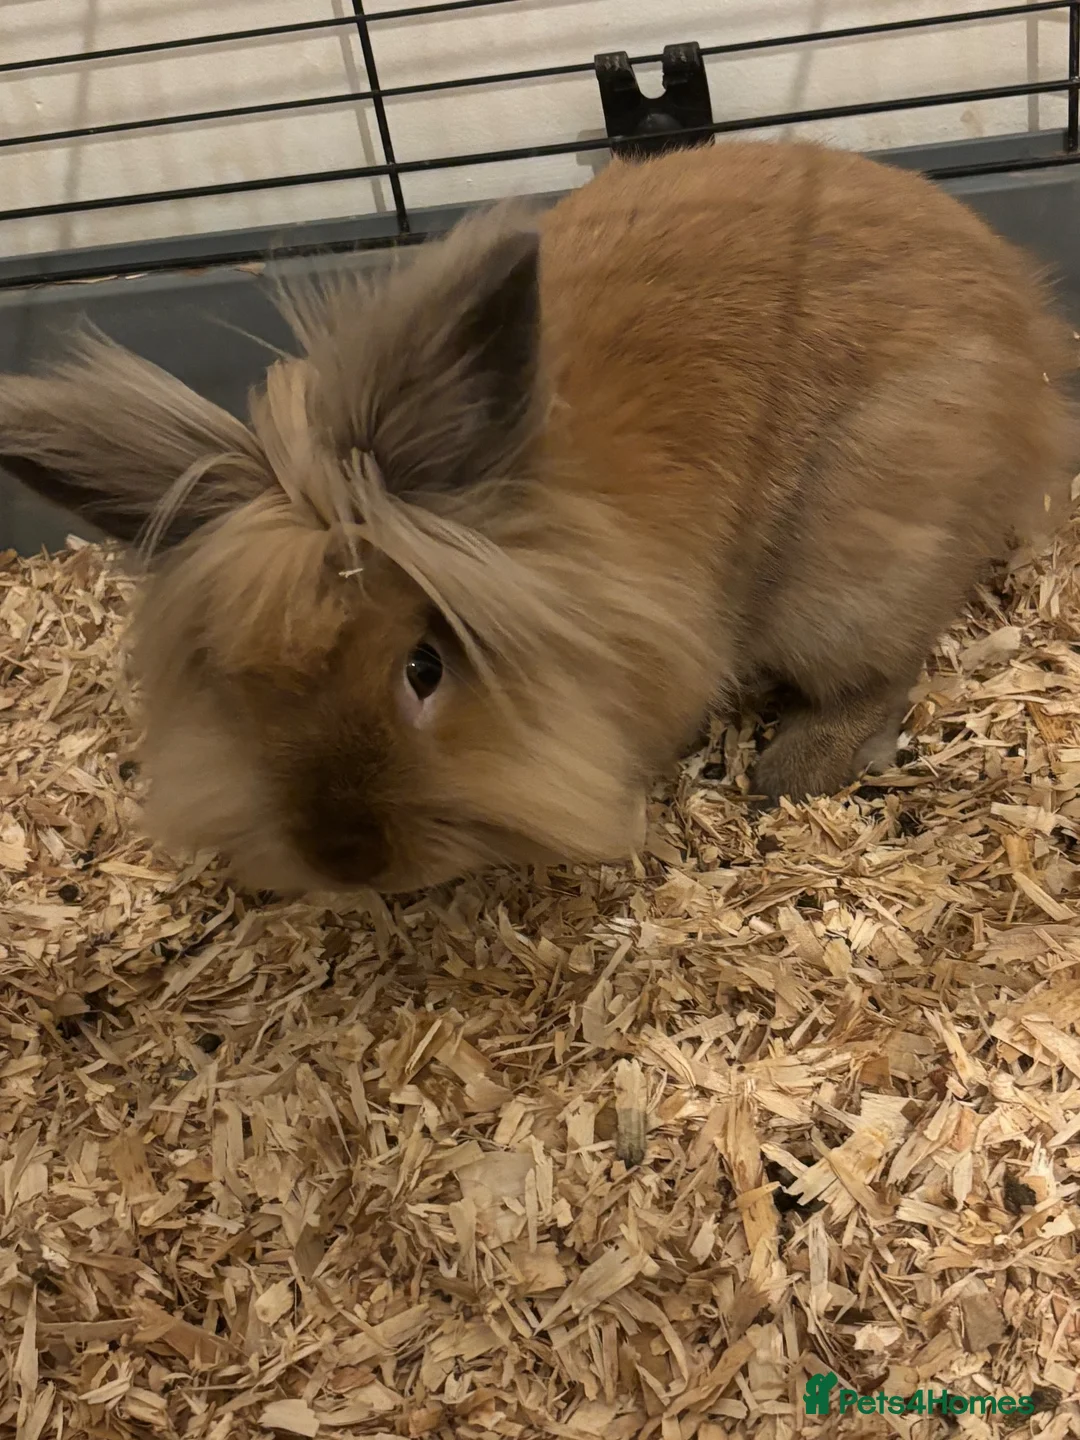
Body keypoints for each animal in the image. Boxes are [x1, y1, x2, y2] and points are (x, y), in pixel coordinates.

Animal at [0, 139, 1075, 896]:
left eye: (424, 668)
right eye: (236, 685)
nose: (347, 857)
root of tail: (1029, 330)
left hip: (852, 566)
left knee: (884, 670)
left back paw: (791, 773)